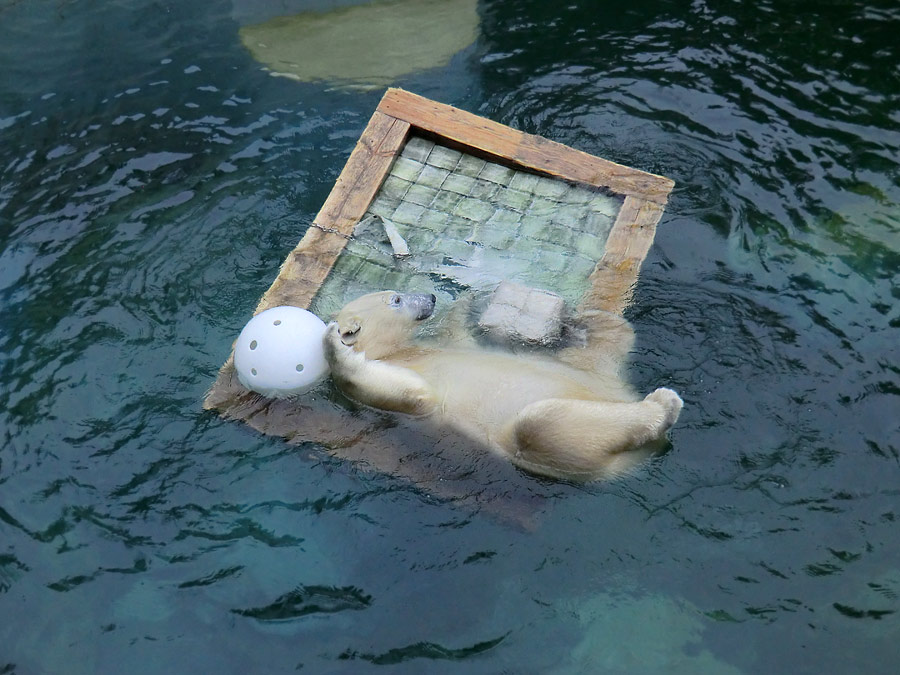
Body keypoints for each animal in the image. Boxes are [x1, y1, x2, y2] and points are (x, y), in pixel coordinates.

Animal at [324, 290, 684, 480]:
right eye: (396, 299)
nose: (429, 296)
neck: (398, 352)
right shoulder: (405, 393)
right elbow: (404, 393)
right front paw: (334, 342)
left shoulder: (442, 346)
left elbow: (460, 335)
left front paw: (466, 300)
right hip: (559, 453)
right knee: (539, 425)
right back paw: (663, 405)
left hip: (590, 368)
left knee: (610, 331)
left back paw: (582, 325)